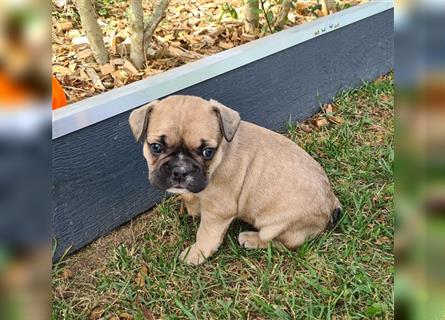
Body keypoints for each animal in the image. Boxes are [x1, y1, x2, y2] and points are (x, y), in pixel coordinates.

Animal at [128, 95, 340, 264]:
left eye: (207, 152)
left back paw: (251, 239)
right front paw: (192, 208)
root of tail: (330, 204)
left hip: (277, 225)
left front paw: (196, 254)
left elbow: (206, 234)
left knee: (282, 243)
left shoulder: (218, 212)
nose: (180, 171)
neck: (222, 152)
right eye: (156, 147)